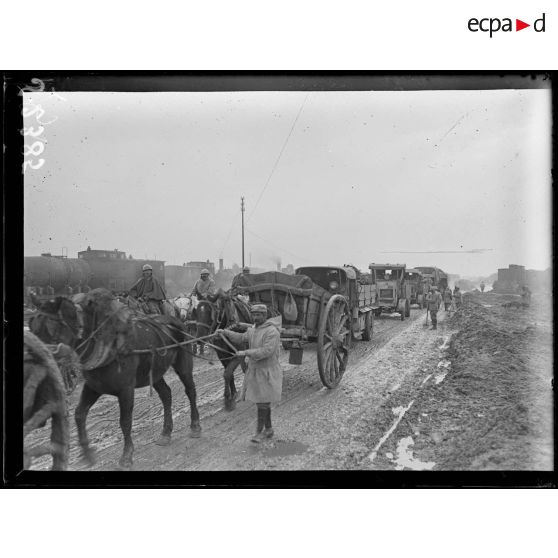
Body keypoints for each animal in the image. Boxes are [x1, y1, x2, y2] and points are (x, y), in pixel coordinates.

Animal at [30, 290, 201, 470]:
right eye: (32, 327)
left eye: (52, 328)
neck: (107, 344)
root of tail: (176, 320)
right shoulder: (93, 387)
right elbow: (79, 414)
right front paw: (87, 453)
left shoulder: (126, 389)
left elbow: (125, 421)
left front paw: (126, 456)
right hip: (155, 373)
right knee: (166, 395)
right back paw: (166, 433)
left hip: (183, 364)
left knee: (190, 391)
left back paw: (195, 426)